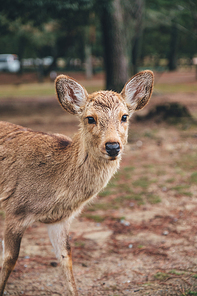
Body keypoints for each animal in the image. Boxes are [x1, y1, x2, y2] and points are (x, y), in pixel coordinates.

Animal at [0, 70, 154, 294]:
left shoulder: (60, 220)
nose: (113, 146)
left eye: (124, 116)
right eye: (90, 118)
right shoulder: (15, 209)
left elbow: (66, 258)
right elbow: (10, 259)